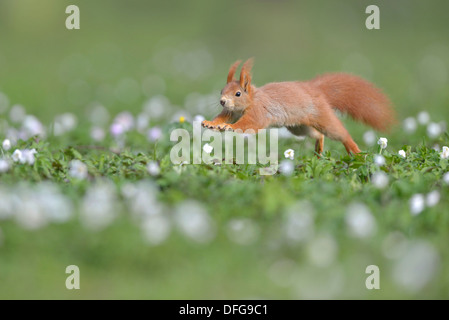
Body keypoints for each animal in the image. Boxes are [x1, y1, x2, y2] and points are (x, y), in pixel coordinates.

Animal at [201, 60, 394, 156]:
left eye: (238, 93)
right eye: (222, 91)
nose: (222, 101)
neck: (252, 100)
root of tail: (315, 90)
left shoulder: (258, 112)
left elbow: (247, 124)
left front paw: (229, 127)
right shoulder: (232, 111)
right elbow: (222, 117)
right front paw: (212, 124)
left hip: (322, 116)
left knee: (339, 132)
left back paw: (355, 151)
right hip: (299, 128)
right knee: (318, 134)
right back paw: (318, 150)